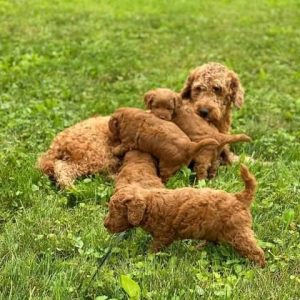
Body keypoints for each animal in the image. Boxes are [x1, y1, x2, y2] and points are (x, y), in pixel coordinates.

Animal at [104, 164, 266, 268]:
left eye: (114, 211)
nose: (105, 225)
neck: (150, 205)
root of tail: (239, 198)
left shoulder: (164, 234)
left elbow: (154, 248)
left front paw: (146, 257)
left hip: (238, 233)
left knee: (255, 250)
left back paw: (259, 266)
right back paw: (199, 248)